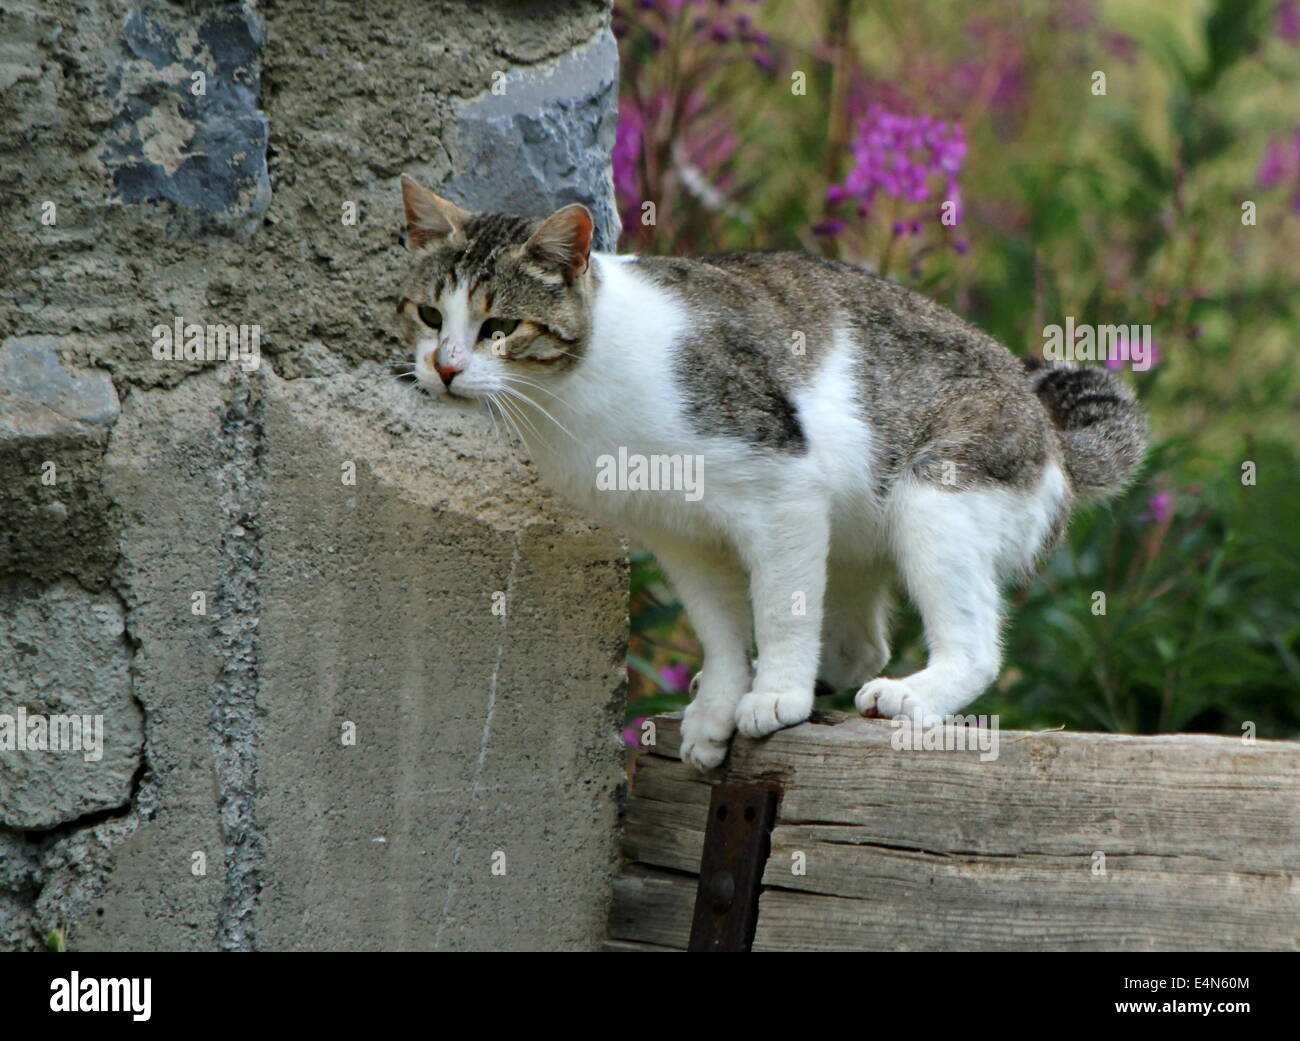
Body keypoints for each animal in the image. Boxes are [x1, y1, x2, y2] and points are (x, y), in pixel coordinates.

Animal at [390, 172, 1144, 769]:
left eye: (500, 328)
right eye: (428, 314)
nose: (444, 367)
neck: (576, 393)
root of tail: (1050, 433)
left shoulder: (780, 491)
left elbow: (780, 610)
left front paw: (775, 694)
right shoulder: (682, 536)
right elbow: (722, 632)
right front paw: (720, 706)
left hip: (937, 493)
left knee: (973, 646)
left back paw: (909, 694)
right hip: (855, 539)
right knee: (861, 642)